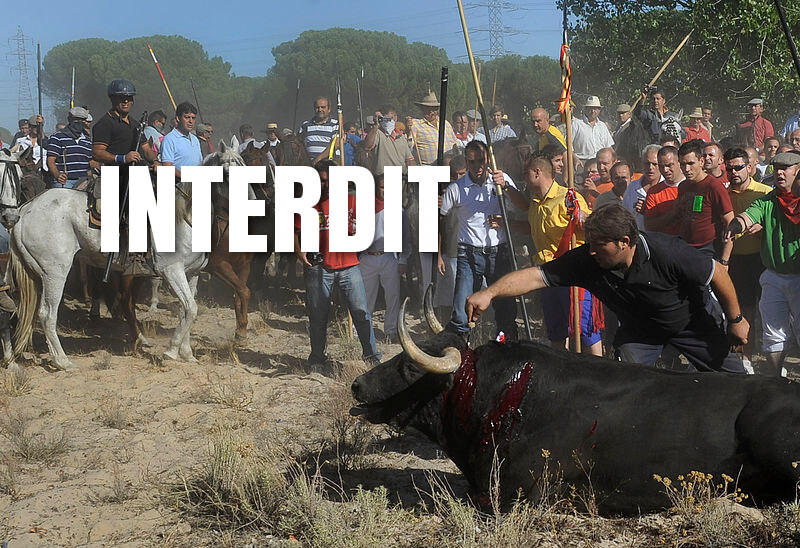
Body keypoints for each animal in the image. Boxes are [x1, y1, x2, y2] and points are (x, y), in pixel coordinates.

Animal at [10, 182, 205, 370]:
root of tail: (25, 210)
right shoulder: (172, 269)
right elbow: (191, 308)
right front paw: (171, 351)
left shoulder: (191, 273)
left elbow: (185, 311)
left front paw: (187, 354)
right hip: (54, 273)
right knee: (47, 313)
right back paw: (63, 362)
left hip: (38, 274)